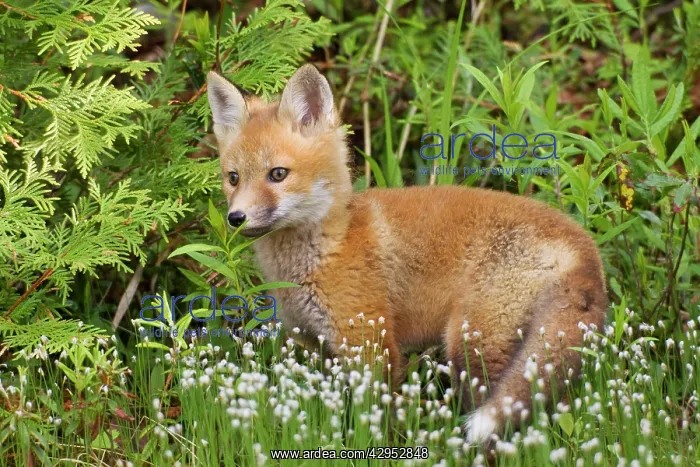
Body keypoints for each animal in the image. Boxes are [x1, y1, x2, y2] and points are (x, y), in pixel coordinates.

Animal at [206, 64, 608, 443]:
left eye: (278, 174)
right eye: (233, 178)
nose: (236, 218)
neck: (329, 245)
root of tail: (582, 244)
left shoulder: (369, 342)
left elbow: (372, 419)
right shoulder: (314, 344)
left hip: (472, 345)